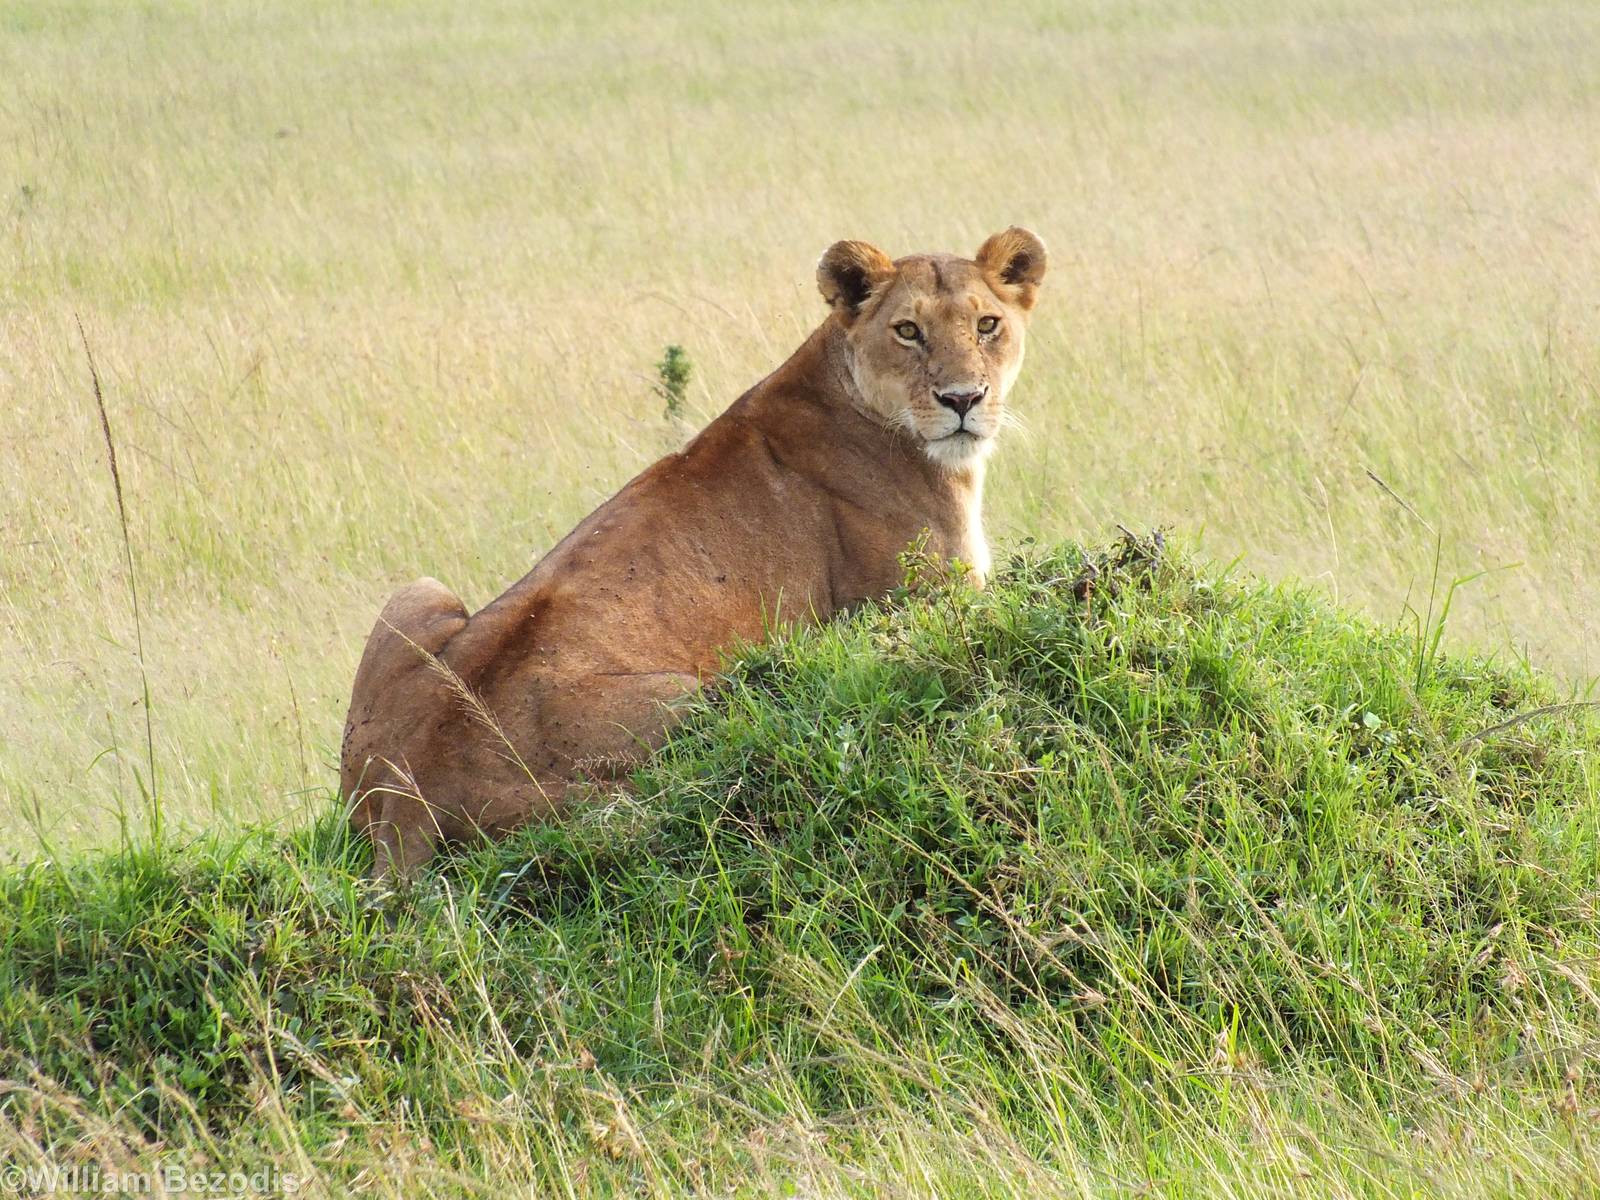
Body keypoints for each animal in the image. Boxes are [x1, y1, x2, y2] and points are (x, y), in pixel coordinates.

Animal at [340, 227, 1048, 881]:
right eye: (908, 331)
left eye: (987, 325)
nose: (963, 400)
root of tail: (411, 790)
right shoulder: (926, 602)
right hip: (707, 695)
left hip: (419, 590)